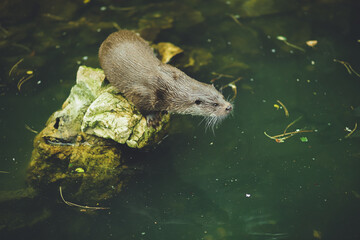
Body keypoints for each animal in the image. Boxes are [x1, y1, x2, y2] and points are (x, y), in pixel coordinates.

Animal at [98, 30, 233, 127]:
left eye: (222, 96)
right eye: (215, 104)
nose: (229, 107)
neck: (170, 87)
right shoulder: (142, 94)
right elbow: (142, 107)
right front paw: (152, 118)